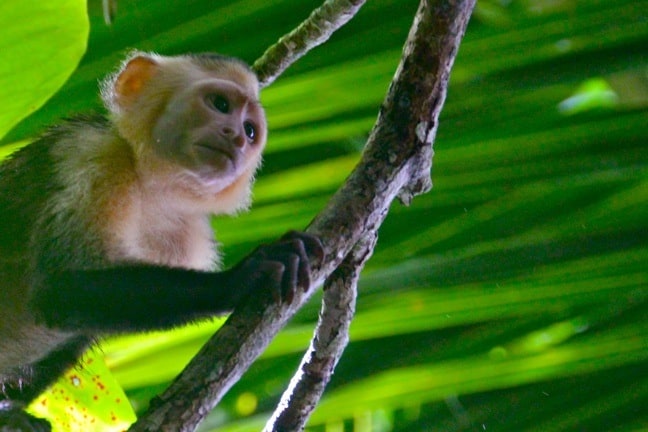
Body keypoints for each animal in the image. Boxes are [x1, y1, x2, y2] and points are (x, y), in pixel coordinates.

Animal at [0, 50, 324, 428]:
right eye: (220, 104)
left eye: (250, 130)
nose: (237, 138)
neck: (151, 184)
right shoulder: (93, 156)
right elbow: (56, 289)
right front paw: (241, 277)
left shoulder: (188, 236)